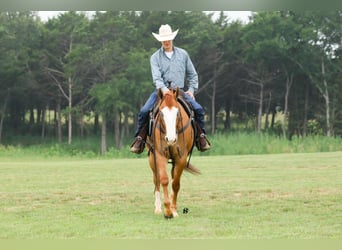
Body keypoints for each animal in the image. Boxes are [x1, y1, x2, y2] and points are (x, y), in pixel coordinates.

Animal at [146, 87, 200, 219]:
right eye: (161, 113)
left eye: (177, 113)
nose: (170, 139)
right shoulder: (159, 155)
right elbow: (164, 180)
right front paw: (167, 211)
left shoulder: (181, 158)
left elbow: (175, 183)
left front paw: (173, 210)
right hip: (152, 158)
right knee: (156, 180)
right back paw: (158, 208)